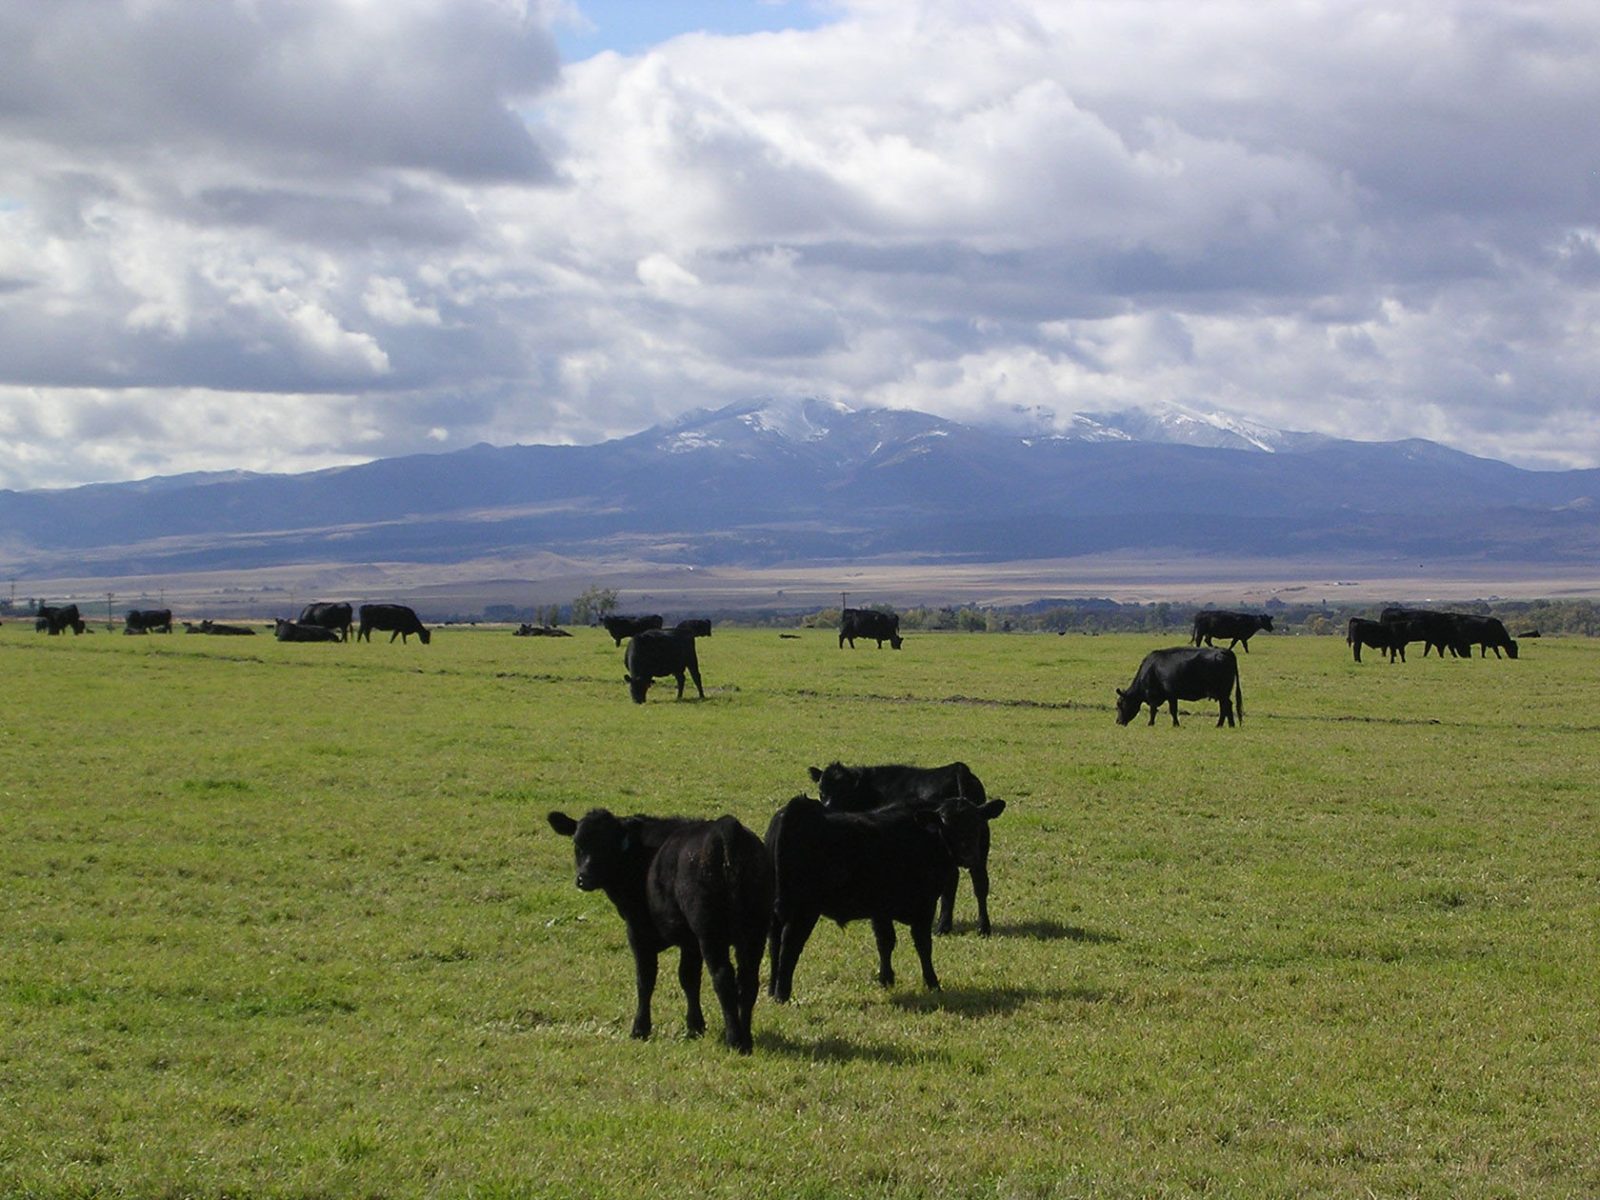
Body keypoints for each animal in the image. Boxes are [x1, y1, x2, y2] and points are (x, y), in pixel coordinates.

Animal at [546, 809, 772, 1054]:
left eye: (607, 845)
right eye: (577, 843)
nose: (584, 878)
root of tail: (727, 826)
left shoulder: (638, 930)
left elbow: (645, 979)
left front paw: (640, 1029)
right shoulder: (689, 941)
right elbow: (688, 978)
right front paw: (695, 1026)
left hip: (711, 932)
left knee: (723, 978)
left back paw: (734, 1040)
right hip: (754, 931)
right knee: (748, 980)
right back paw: (746, 1039)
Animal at [763, 793, 1005, 1003]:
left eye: (977, 824)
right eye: (946, 824)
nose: (969, 855)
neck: (926, 838)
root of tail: (795, 810)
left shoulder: (880, 909)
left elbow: (885, 942)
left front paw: (886, 979)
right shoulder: (924, 906)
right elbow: (923, 945)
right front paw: (932, 983)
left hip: (776, 913)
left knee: (774, 944)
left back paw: (772, 990)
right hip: (802, 911)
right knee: (789, 946)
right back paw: (782, 994)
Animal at [806, 761, 1000, 935]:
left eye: (844, 793)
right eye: (822, 791)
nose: (827, 807)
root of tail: (958, 769)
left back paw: (944, 926)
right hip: (979, 845)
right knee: (979, 882)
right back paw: (982, 927)